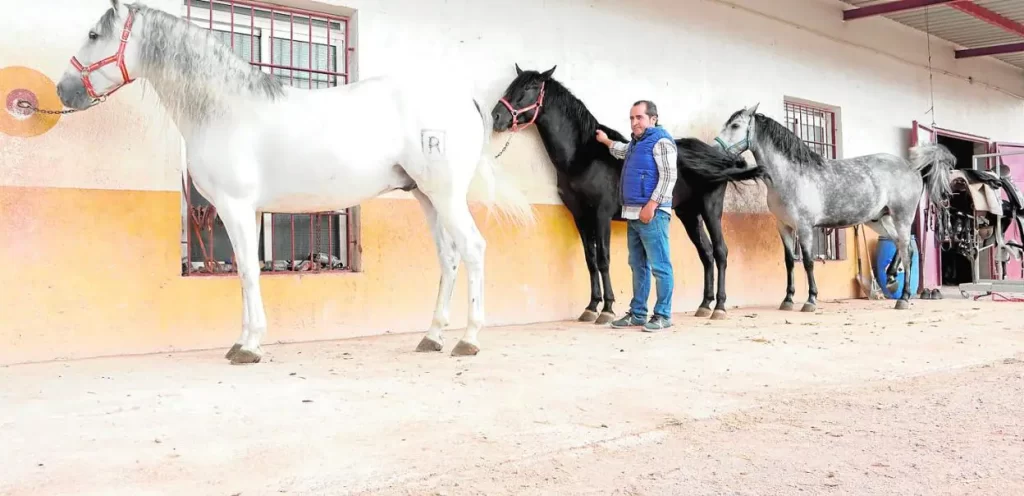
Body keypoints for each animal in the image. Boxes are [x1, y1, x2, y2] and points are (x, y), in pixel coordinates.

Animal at [54, 0, 536, 364]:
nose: (63, 90)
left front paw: (249, 347)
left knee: (473, 250)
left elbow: (248, 271)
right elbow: (247, 272)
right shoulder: (250, 211)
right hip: (426, 196)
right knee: (449, 258)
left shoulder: (235, 207)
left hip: (446, 195)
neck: (224, 109)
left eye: (94, 35)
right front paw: (244, 339)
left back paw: (468, 340)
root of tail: (463, 99)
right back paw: (432, 336)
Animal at [491, 64, 765, 323]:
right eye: (512, 84)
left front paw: (607, 309)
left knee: (720, 252)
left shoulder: (601, 214)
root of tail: (720, 157)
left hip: (711, 210)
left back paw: (719, 307)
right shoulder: (580, 216)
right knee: (706, 253)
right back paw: (704, 305)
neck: (584, 156)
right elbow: (590, 259)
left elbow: (603, 258)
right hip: (689, 214)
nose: (496, 116)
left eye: (529, 88)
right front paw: (591, 307)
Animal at [712, 102, 950, 311]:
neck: (790, 175)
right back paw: (892, 280)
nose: (715, 149)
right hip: (879, 220)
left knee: (906, 250)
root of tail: (913, 168)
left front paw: (810, 300)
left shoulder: (805, 227)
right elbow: (789, 261)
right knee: (903, 247)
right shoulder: (784, 226)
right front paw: (787, 300)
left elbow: (808, 261)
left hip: (902, 217)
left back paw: (904, 298)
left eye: (735, 126)